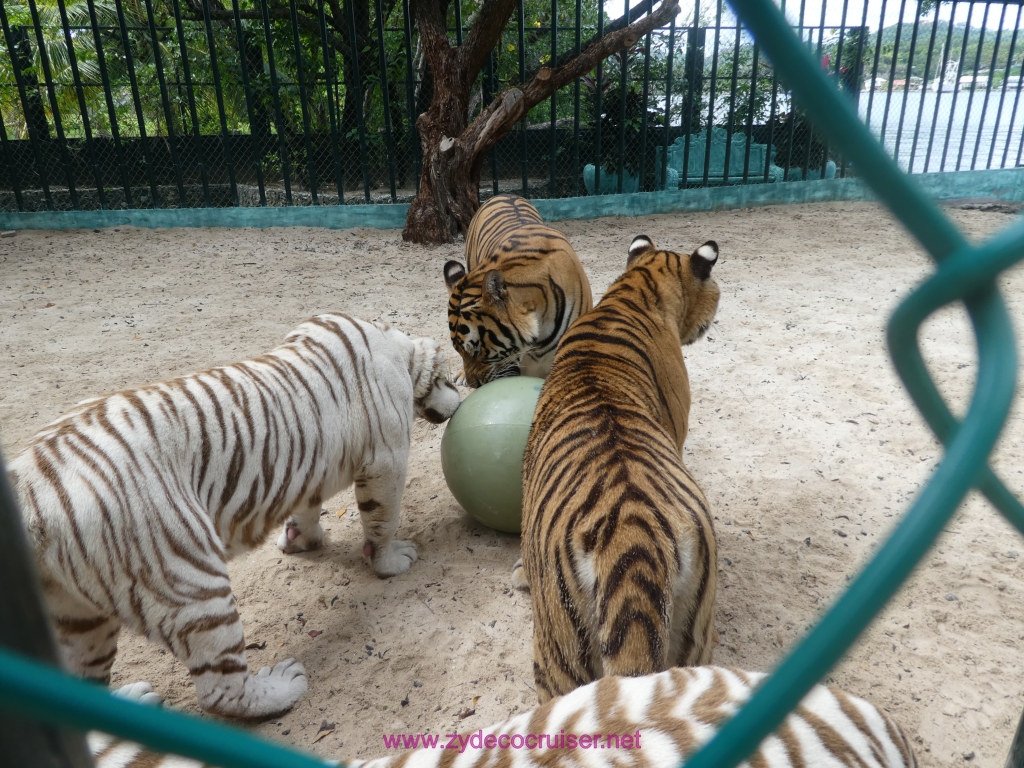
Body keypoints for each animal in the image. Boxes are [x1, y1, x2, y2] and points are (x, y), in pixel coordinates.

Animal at [6, 313, 462, 720]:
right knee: (220, 689)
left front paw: (301, 540)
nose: (460, 403)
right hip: (188, 579)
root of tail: (27, 485)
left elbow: (307, 504)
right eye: (450, 378)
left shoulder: (308, 463)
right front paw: (392, 561)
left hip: (78, 618)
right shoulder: (386, 458)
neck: (395, 347)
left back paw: (135, 700)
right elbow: (382, 519)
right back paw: (285, 685)